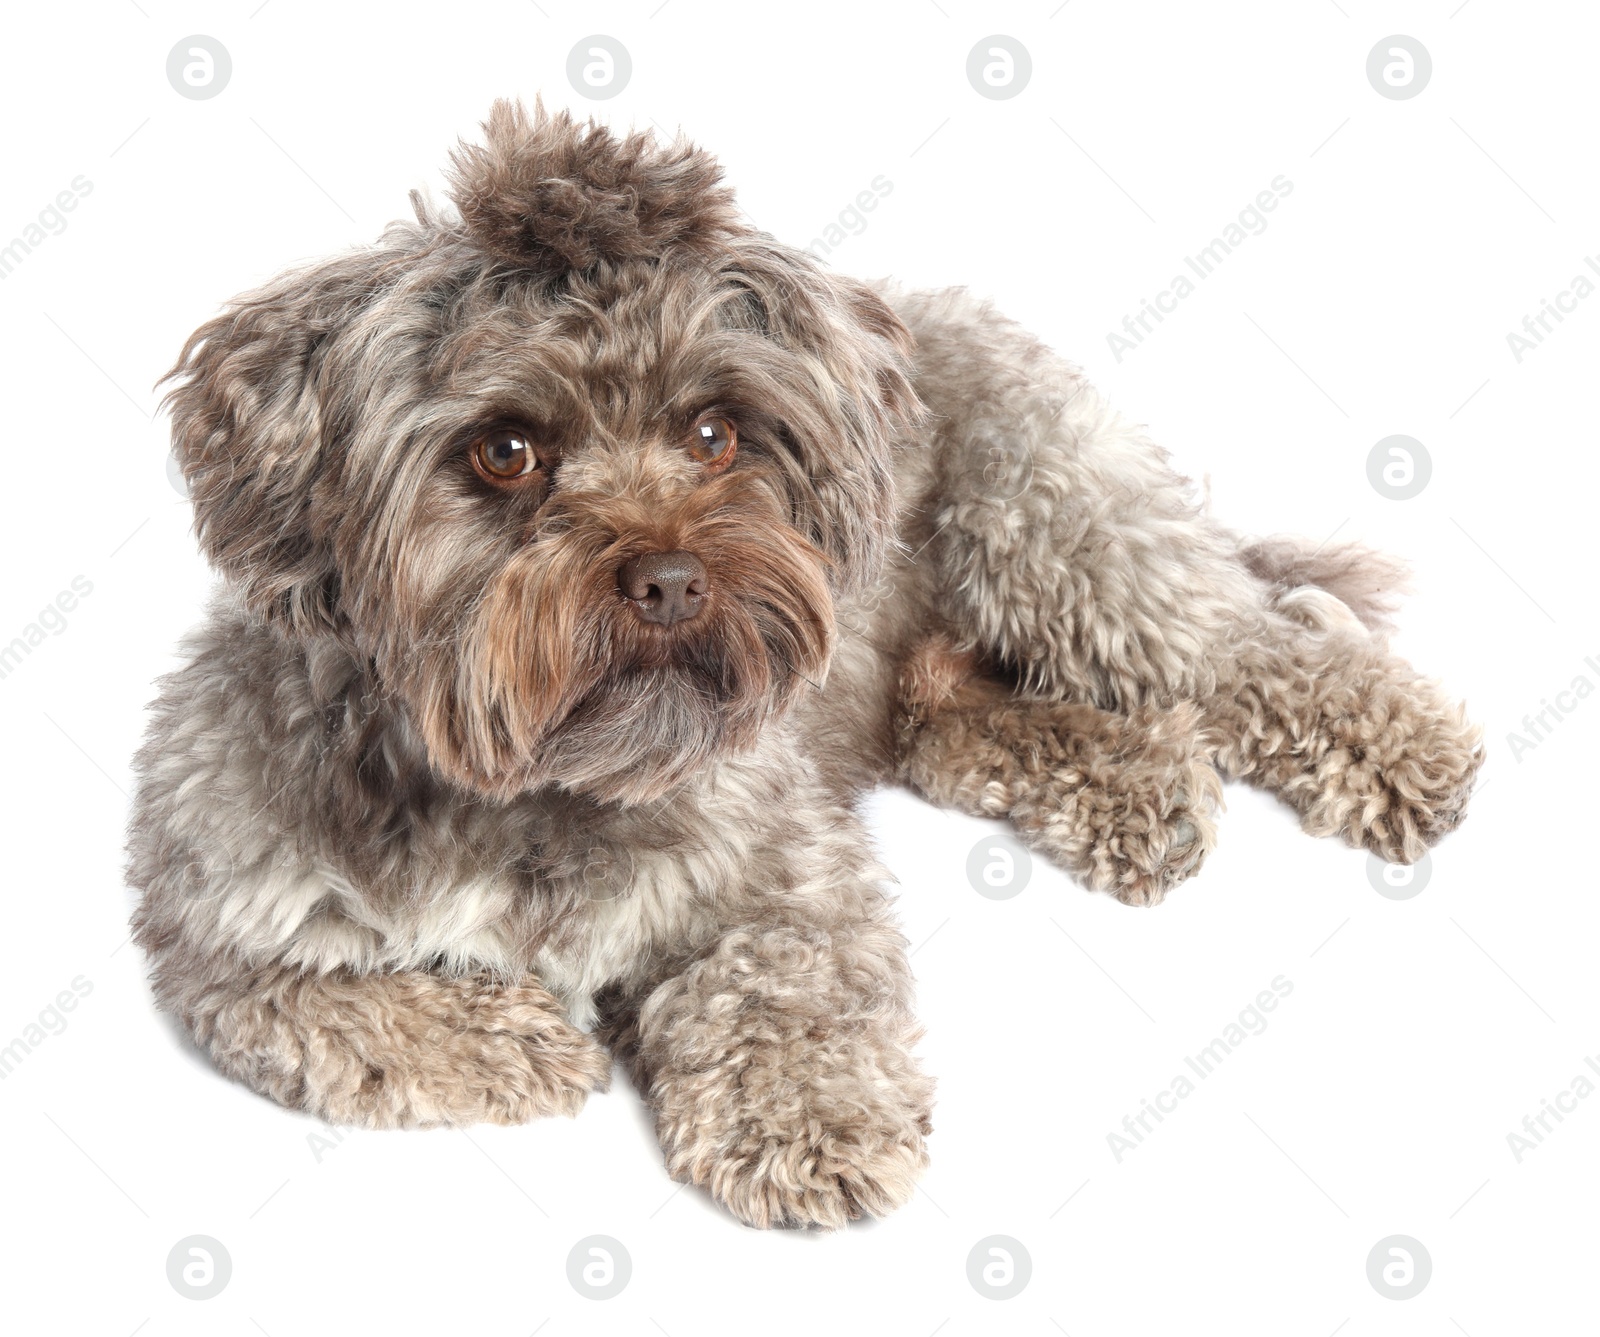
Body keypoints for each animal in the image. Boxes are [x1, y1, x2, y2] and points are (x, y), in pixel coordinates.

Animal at [128, 99, 1484, 1234]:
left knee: (1246, 646)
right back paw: (1137, 789)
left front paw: (807, 1118)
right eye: (503, 449)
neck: (535, 786)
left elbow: (782, 981)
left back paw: (1405, 748)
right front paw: (516, 1035)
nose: (672, 580)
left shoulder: (782, 862)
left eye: (713, 431)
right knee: (965, 711)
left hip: (1059, 538)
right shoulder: (221, 928)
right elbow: (326, 1007)